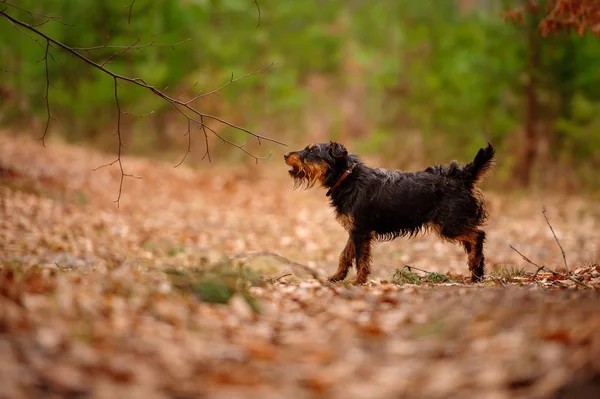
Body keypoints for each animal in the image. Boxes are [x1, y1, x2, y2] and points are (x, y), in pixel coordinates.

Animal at [284, 142, 494, 286]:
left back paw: (475, 269)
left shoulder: (361, 232)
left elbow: (360, 259)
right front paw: (337, 277)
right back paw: (477, 274)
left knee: (478, 235)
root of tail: (463, 176)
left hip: (449, 224)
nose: (286, 154)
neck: (348, 178)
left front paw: (358, 282)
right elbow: (345, 255)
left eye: (312, 151)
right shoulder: (356, 230)